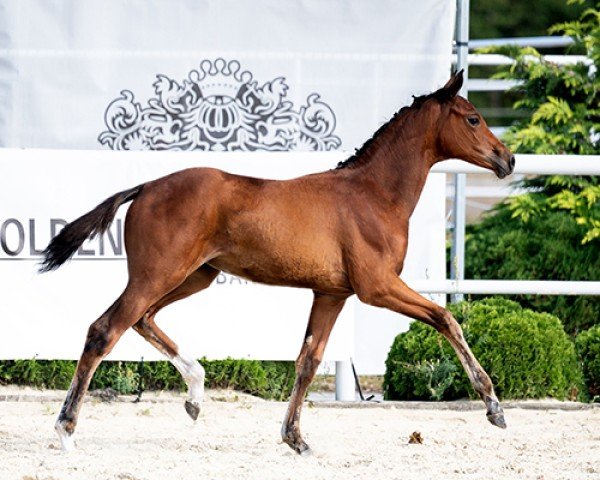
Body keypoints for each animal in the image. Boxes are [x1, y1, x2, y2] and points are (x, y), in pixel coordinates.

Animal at [39, 71, 512, 454]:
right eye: (472, 118)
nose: (507, 159)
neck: (374, 195)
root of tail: (147, 186)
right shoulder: (377, 287)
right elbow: (445, 318)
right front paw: (494, 406)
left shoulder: (332, 294)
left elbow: (308, 361)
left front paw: (295, 438)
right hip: (159, 274)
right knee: (105, 329)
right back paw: (66, 429)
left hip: (193, 277)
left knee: (143, 319)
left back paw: (195, 394)